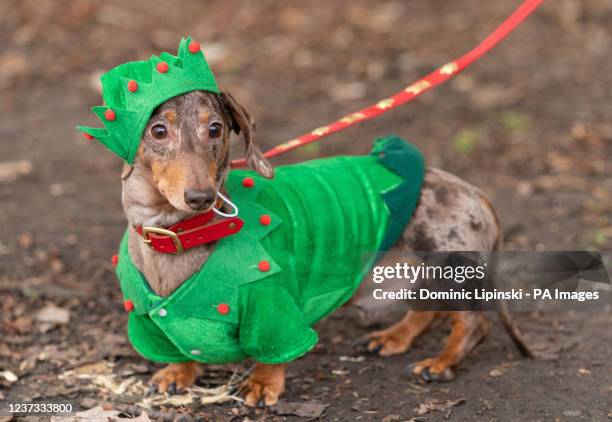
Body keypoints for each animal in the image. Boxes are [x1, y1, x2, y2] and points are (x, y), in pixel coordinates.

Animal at [120, 89, 532, 406]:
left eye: (215, 129)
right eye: (158, 130)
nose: (201, 197)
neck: (178, 235)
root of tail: (473, 192)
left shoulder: (274, 307)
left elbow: (273, 350)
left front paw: (263, 385)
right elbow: (175, 349)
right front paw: (178, 372)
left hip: (448, 265)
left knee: (474, 323)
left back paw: (440, 363)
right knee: (426, 312)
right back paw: (392, 338)